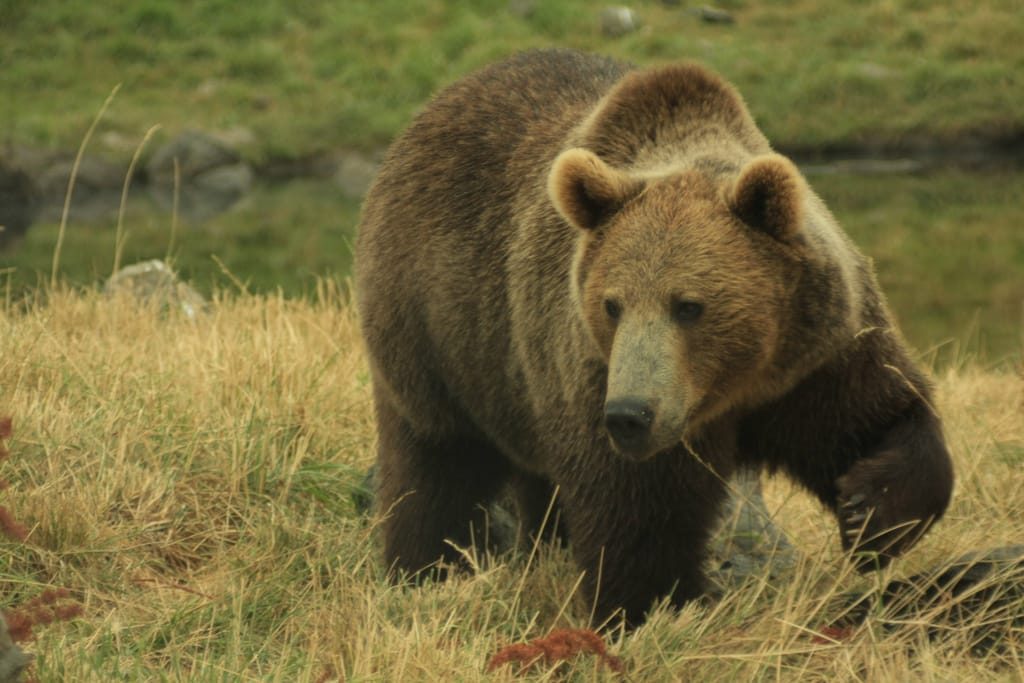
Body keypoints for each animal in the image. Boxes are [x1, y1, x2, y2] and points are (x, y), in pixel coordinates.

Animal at [356, 48, 954, 626]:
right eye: (612, 305)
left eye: (688, 305)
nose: (629, 414)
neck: (731, 387)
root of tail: (437, 105)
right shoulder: (592, 374)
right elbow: (636, 515)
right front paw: (658, 606)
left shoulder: (815, 356)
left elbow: (879, 414)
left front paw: (868, 514)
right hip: (435, 332)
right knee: (436, 466)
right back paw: (428, 570)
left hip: (518, 379)